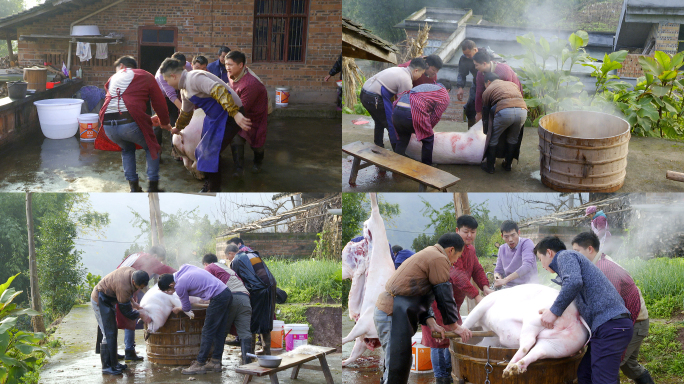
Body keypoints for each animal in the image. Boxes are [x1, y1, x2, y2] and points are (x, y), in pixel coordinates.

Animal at [342, 194, 396, 368]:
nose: (372, 345)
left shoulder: (364, 336)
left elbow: (355, 352)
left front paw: (344, 362)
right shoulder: (364, 323)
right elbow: (351, 336)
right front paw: (342, 340)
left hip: (370, 228)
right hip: (375, 223)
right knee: (374, 209)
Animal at [462, 284, 592, 376]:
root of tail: (576, 315)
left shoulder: (484, 304)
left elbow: (469, 320)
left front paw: (462, 331)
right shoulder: (493, 337)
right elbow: (483, 343)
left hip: (535, 318)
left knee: (528, 343)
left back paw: (509, 369)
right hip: (563, 345)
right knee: (538, 352)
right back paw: (511, 370)